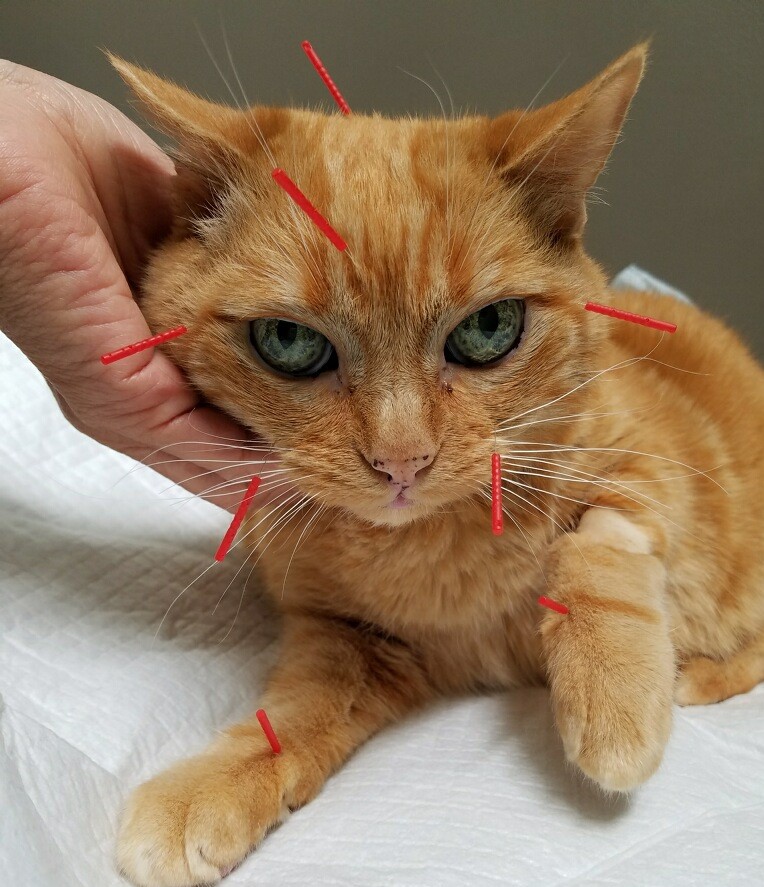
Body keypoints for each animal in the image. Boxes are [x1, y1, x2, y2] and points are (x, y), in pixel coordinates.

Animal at [110, 46, 764, 887]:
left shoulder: (651, 457)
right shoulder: (350, 636)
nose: (401, 459)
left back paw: (698, 676)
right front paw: (215, 782)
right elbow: (293, 714)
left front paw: (614, 699)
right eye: (289, 341)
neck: (433, 551)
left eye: (489, 328)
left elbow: (599, 544)